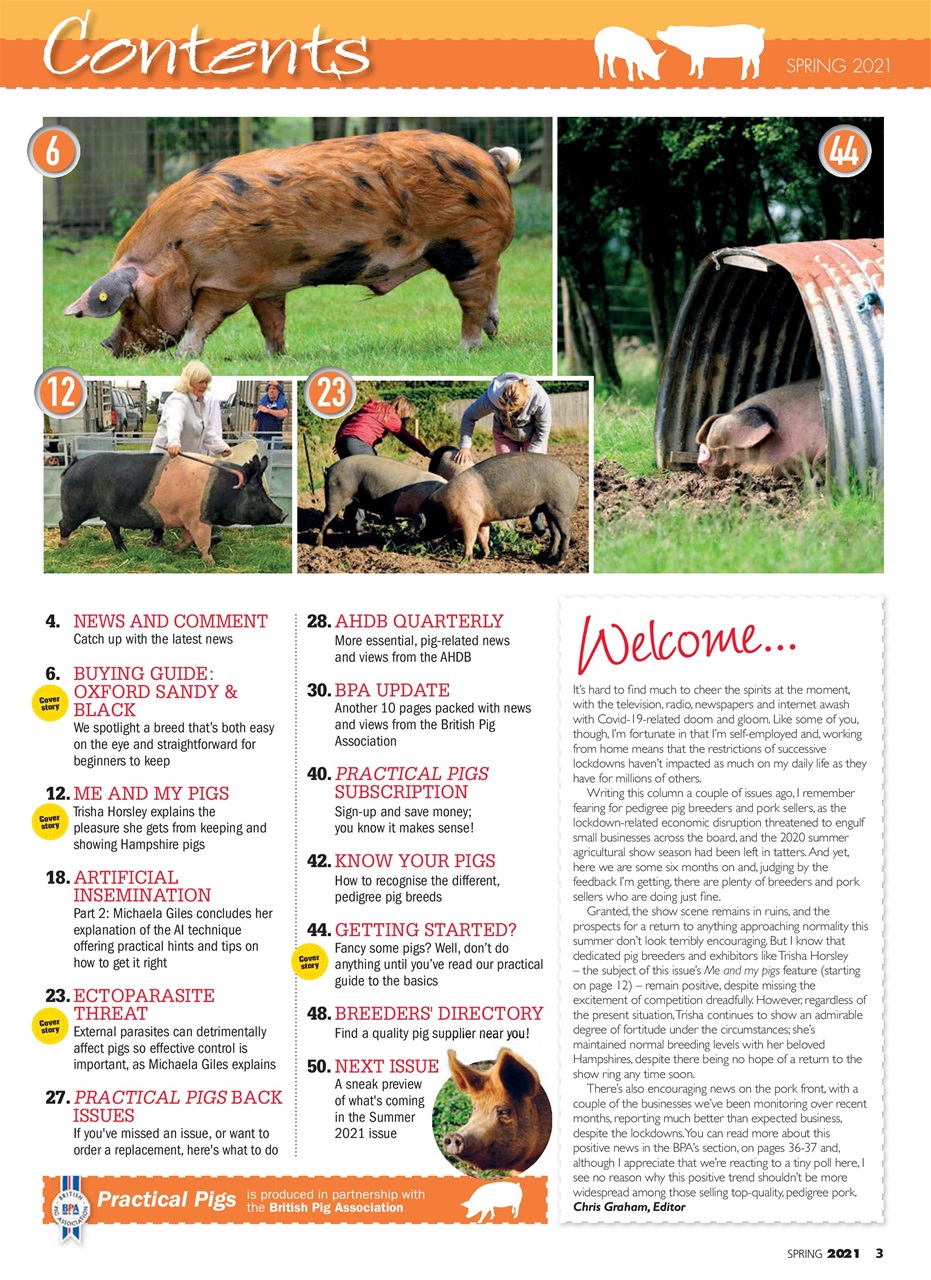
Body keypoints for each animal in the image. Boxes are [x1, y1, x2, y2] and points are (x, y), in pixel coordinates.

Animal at [58, 453, 285, 565]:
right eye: (257, 492)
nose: (284, 514)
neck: (224, 490)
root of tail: (74, 464)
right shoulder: (198, 519)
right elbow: (202, 542)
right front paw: (212, 563)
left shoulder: (188, 519)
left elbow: (187, 539)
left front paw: (173, 550)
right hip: (75, 508)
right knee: (64, 524)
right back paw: (63, 548)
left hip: (108, 512)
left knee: (112, 528)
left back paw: (124, 550)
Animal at [64, 131, 521, 357]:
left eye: (128, 305)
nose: (106, 346)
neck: (178, 253)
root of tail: (492, 160)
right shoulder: (264, 284)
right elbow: (272, 322)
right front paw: (276, 357)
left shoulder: (227, 281)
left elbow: (204, 319)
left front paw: (185, 358)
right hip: (475, 247)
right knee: (494, 277)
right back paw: (493, 333)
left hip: (465, 241)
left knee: (473, 296)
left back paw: (465, 348)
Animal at [315, 455, 446, 546]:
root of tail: (329, 469)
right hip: (335, 495)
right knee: (326, 518)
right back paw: (320, 546)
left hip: (352, 501)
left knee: (349, 517)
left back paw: (357, 539)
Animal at [413, 452, 580, 562]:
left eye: (428, 519)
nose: (419, 537)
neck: (445, 507)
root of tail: (572, 470)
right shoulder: (483, 520)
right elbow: (483, 537)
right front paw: (484, 556)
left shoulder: (470, 518)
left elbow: (470, 538)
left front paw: (465, 560)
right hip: (549, 510)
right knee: (555, 533)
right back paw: (547, 556)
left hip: (560, 508)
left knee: (566, 532)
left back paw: (560, 561)